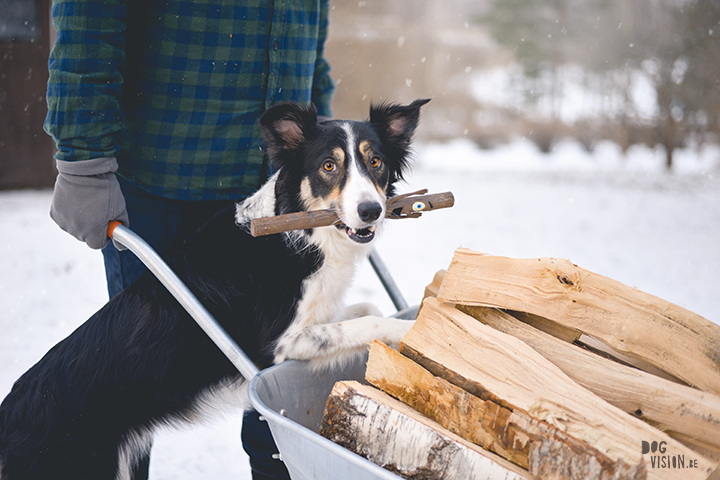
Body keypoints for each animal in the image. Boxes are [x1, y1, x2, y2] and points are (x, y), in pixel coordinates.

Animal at [0, 99, 428, 478]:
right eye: (328, 166)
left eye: (376, 162)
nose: (371, 211)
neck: (298, 231)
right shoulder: (277, 347)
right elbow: (367, 324)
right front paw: (409, 329)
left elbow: (367, 310)